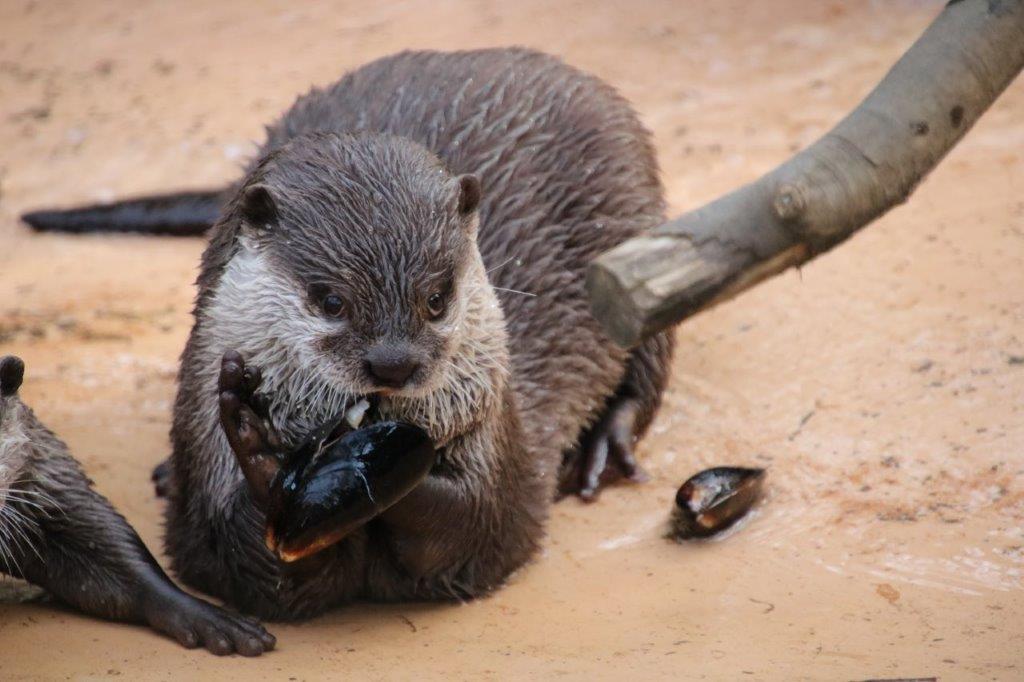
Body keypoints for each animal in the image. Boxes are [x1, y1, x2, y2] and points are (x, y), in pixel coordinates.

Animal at [25, 49, 671, 614]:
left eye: (437, 298)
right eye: (330, 299)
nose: (393, 365)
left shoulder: (499, 451)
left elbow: (482, 530)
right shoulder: (203, 454)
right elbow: (239, 559)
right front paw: (263, 457)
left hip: (634, 227)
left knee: (647, 361)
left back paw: (602, 446)